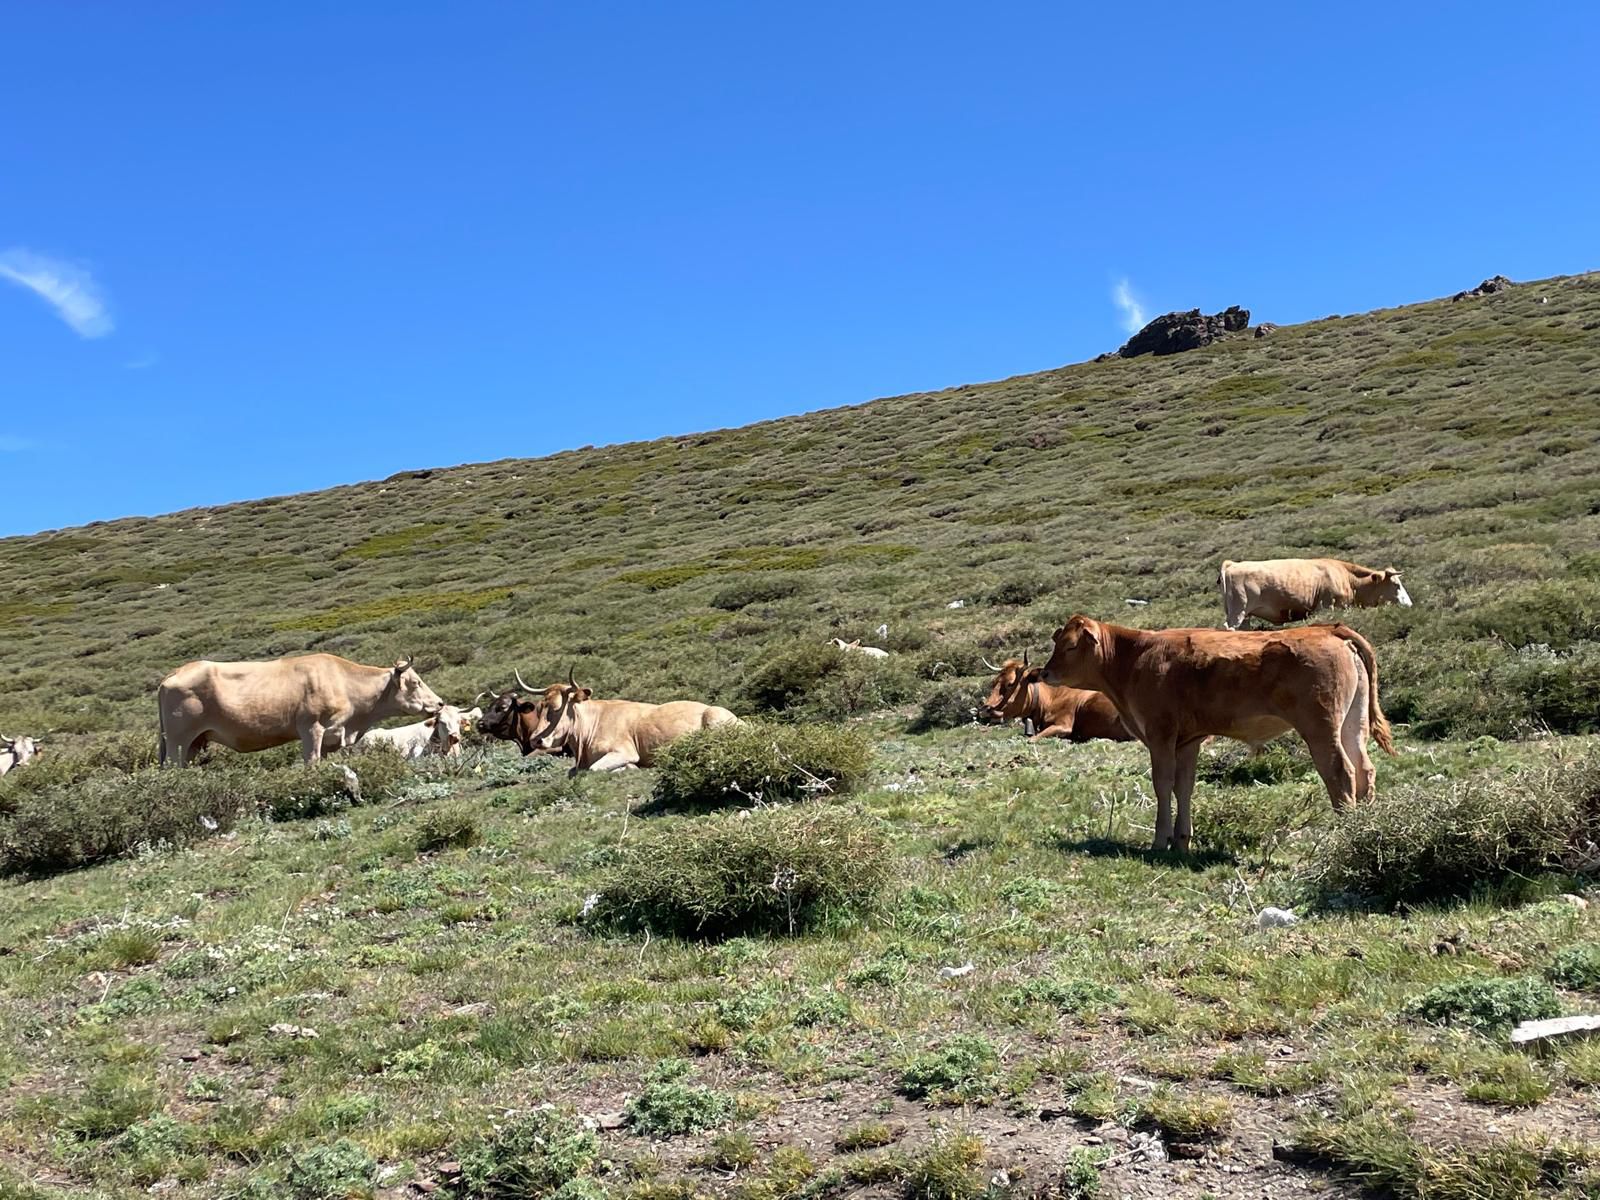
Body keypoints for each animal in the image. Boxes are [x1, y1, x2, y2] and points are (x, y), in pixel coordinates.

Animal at [158, 652, 444, 764]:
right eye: (416, 682)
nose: (440, 702)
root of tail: (176, 672)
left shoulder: (331, 736)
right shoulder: (311, 729)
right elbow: (311, 762)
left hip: (195, 742)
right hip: (178, 741)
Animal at [473, 672, 736, 774]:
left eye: (557, 707)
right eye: (539, 707)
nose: (537, 740)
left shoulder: (624, 752)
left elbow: (596, 768)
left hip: (714, 719)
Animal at [1036, 620, 1388, 857]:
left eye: (1070, 646)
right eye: (1057, 642)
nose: (1045, 673)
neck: (1135, 659)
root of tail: (1328, 629)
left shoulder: (1160, 734)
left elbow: (1162, 784)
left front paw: (1159, 841)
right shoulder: (1188, 740)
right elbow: (1184, 787)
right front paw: (1181, 842)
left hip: (1321, 728)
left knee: (1341, 773)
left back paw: (1344, 834)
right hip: (1352, 723)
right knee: (1364, 769)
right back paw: (1364, 829)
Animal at [1216, 556, 1408, 630]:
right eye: (1396, 585)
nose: (1409, 604)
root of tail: (1232, 564)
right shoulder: (1327, 607)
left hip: (1245, 615)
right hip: (1238, 611)